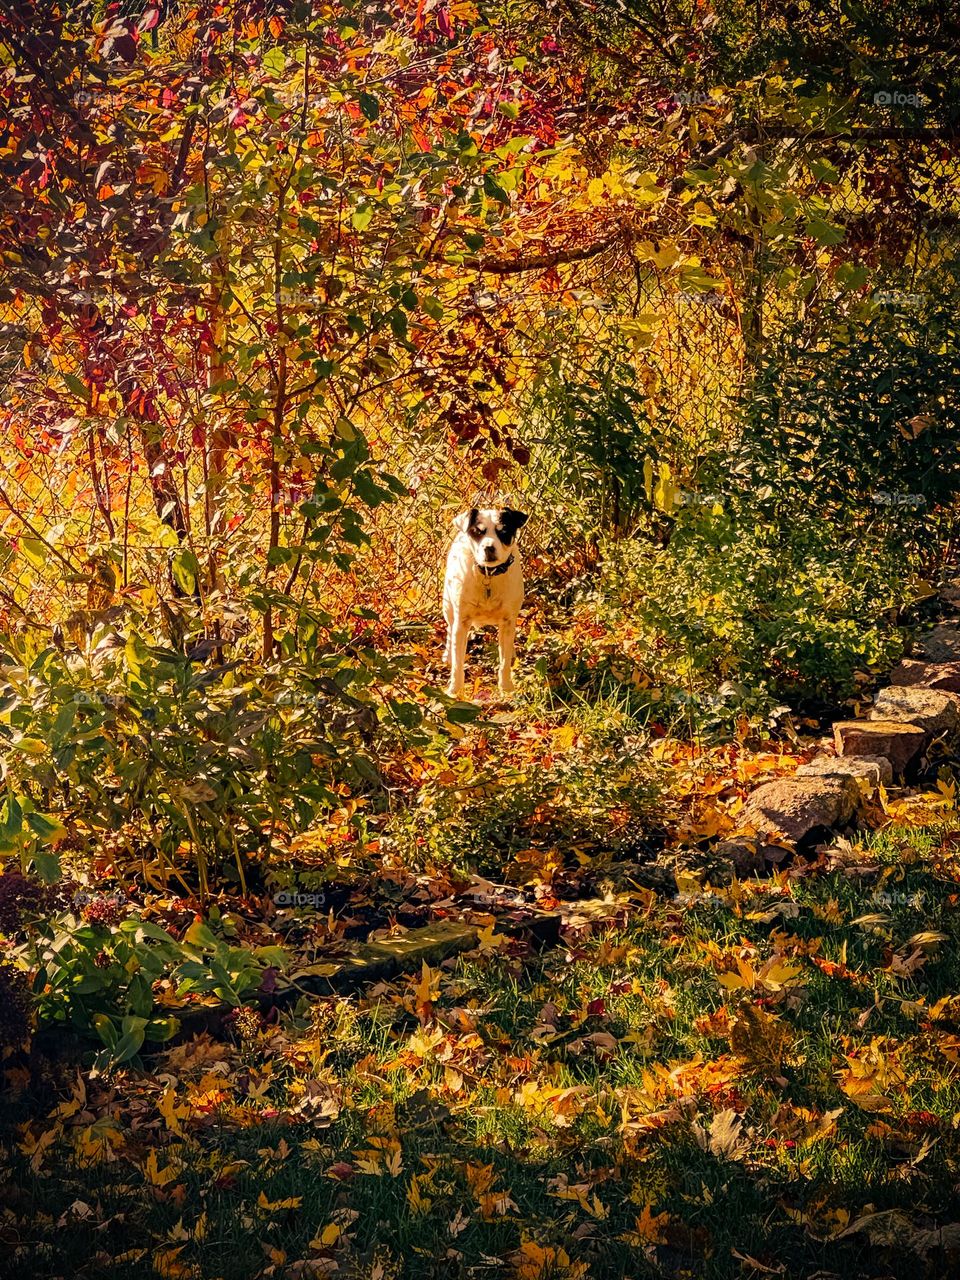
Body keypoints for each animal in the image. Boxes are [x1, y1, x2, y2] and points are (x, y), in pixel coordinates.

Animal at [442, 504, 529, 696]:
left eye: (503, 531)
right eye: (477, 532)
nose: (489, 547)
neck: (489, 575)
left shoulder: (508, 621)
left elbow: (504, 662)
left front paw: (506, 687)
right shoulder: (461, 622)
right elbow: (458, 664)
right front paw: (455, 689)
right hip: (448, 606)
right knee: (449, 630)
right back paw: (447, 655)